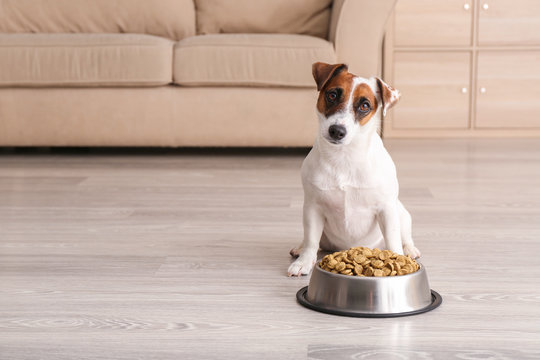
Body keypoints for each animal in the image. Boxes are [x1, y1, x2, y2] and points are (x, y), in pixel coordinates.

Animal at [286, 62, 422, 276]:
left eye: (365, 105)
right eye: (332, 94)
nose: (337, 131)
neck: (344, 156)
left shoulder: (386, 210)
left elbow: (393, 240)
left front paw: (400, 260)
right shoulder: (313, 208)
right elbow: (311, 241)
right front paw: (304, 261)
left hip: (401, 213)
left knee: (404, 236)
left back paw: (410, 249)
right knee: (313, 241)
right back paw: (299, 248)